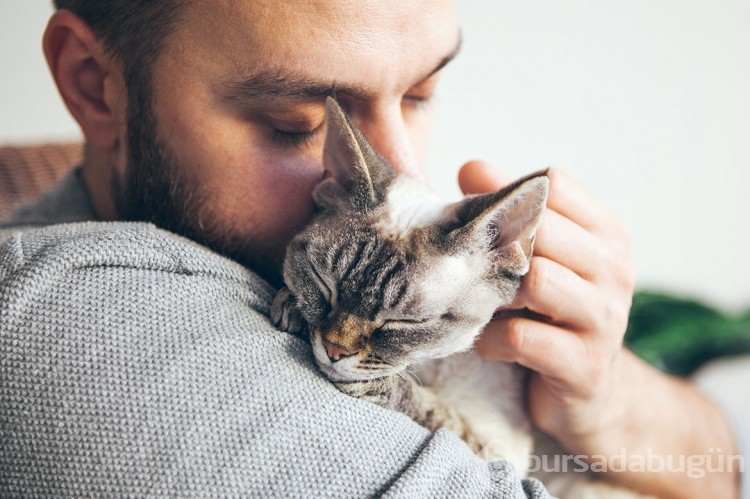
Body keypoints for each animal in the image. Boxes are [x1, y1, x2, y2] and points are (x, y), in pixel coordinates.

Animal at [274, 98, 648, 499]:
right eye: (323, 282)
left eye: (406, 322)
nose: (334, 350)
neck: (430, 363)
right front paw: (292, 306)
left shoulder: (499, 451)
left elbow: (434, 410)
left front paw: (381, 384)